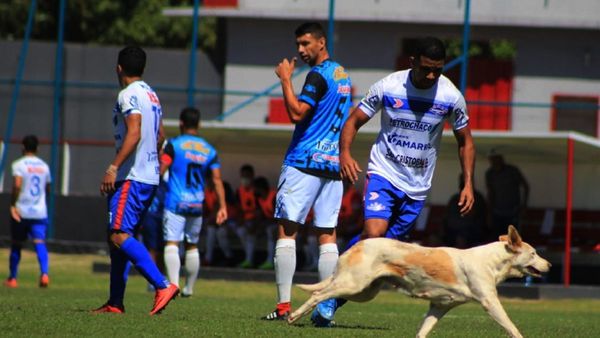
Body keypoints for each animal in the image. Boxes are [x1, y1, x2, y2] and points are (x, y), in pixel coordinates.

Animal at [288, 224, 552, 338]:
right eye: (534, 253)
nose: (549, 265)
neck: (493, 261)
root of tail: (357, 244)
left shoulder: (439, 306)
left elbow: (424, 330)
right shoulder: (490, 302)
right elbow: (511, 326)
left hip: (364, 292)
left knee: (326, 293)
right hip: (353, 285)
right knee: (318, 294)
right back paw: (293, 316)